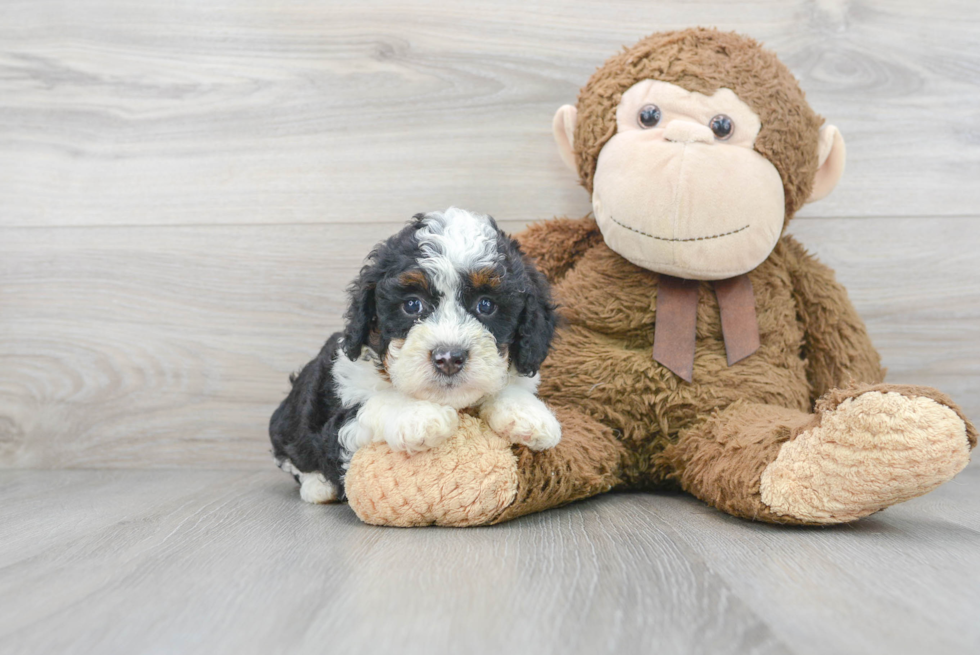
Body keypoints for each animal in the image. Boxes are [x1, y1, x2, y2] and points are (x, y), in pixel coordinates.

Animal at [268, 208, 560, 504]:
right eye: (411, 304)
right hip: (288, 421)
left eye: (486, 305)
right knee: (294, 459)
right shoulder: (341, 428)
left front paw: (528, 414)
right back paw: (317, 487)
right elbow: (375, 402)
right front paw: (419, 416)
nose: (448, 358)